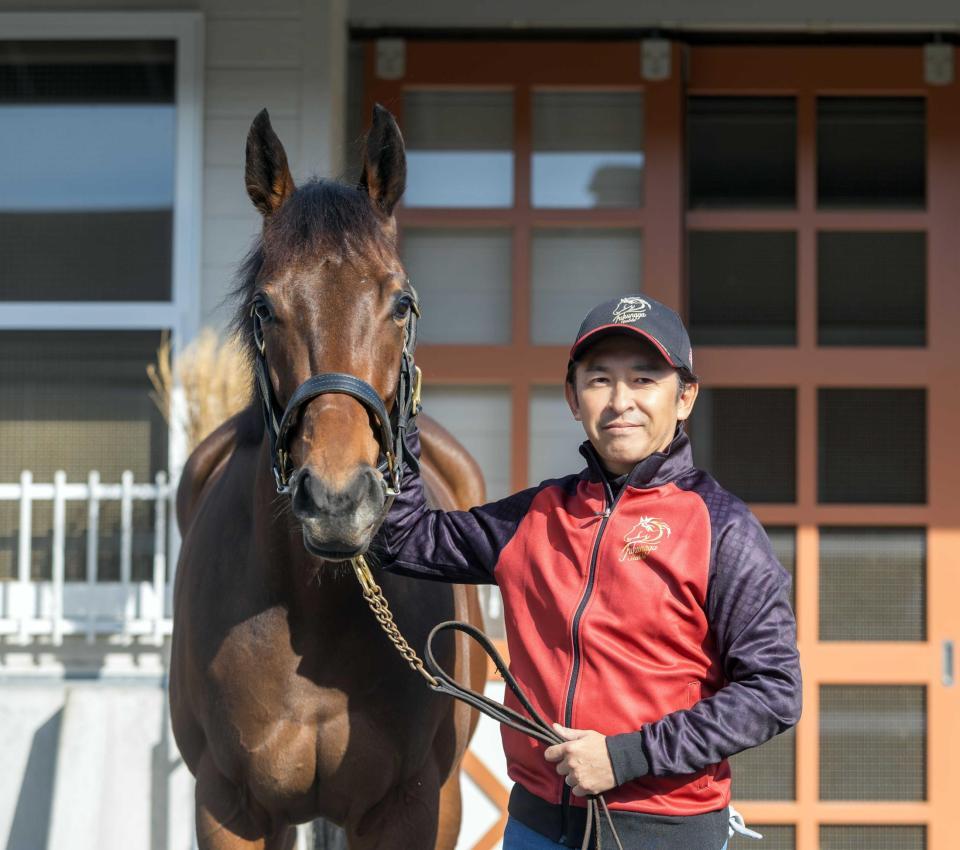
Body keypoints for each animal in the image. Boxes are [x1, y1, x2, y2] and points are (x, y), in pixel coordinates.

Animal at [166, 106, 492, 848]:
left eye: (401, 302)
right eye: (264, 307)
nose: (338, 501)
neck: (314, 611)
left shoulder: (413, 807)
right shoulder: (229, 808)